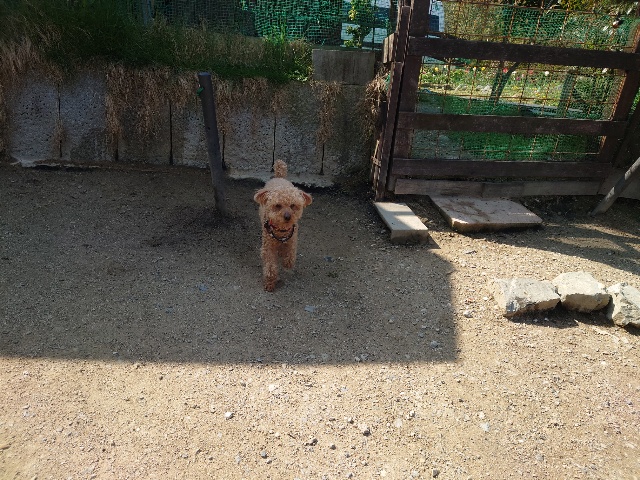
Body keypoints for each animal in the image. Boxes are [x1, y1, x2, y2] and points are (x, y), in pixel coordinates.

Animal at [254, 160, 312, 292]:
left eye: (293, 205)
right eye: (278, 205)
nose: (287, 216)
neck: (281, 231)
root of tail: (279, 177)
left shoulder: (292, 240)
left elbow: (290, 256)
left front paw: (287, 263)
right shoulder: (268, 247)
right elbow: (270, 267)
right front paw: (270, 283)